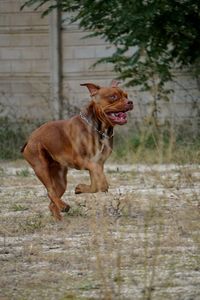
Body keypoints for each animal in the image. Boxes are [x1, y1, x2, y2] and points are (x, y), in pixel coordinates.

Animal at [21, 81, 133, 219]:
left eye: (126, 96)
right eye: (113, 97)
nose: (130, 102)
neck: (99, 129)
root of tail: (29, 139)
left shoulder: (99, 163)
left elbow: (96, 185)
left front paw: (80, 188)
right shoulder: (83, 161)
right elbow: (101, 182)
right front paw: (97, 185)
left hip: (60, 180)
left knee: (52, 200)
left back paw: (59, 218)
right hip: (41, 168)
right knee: (50, 191)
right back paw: (63, 206)